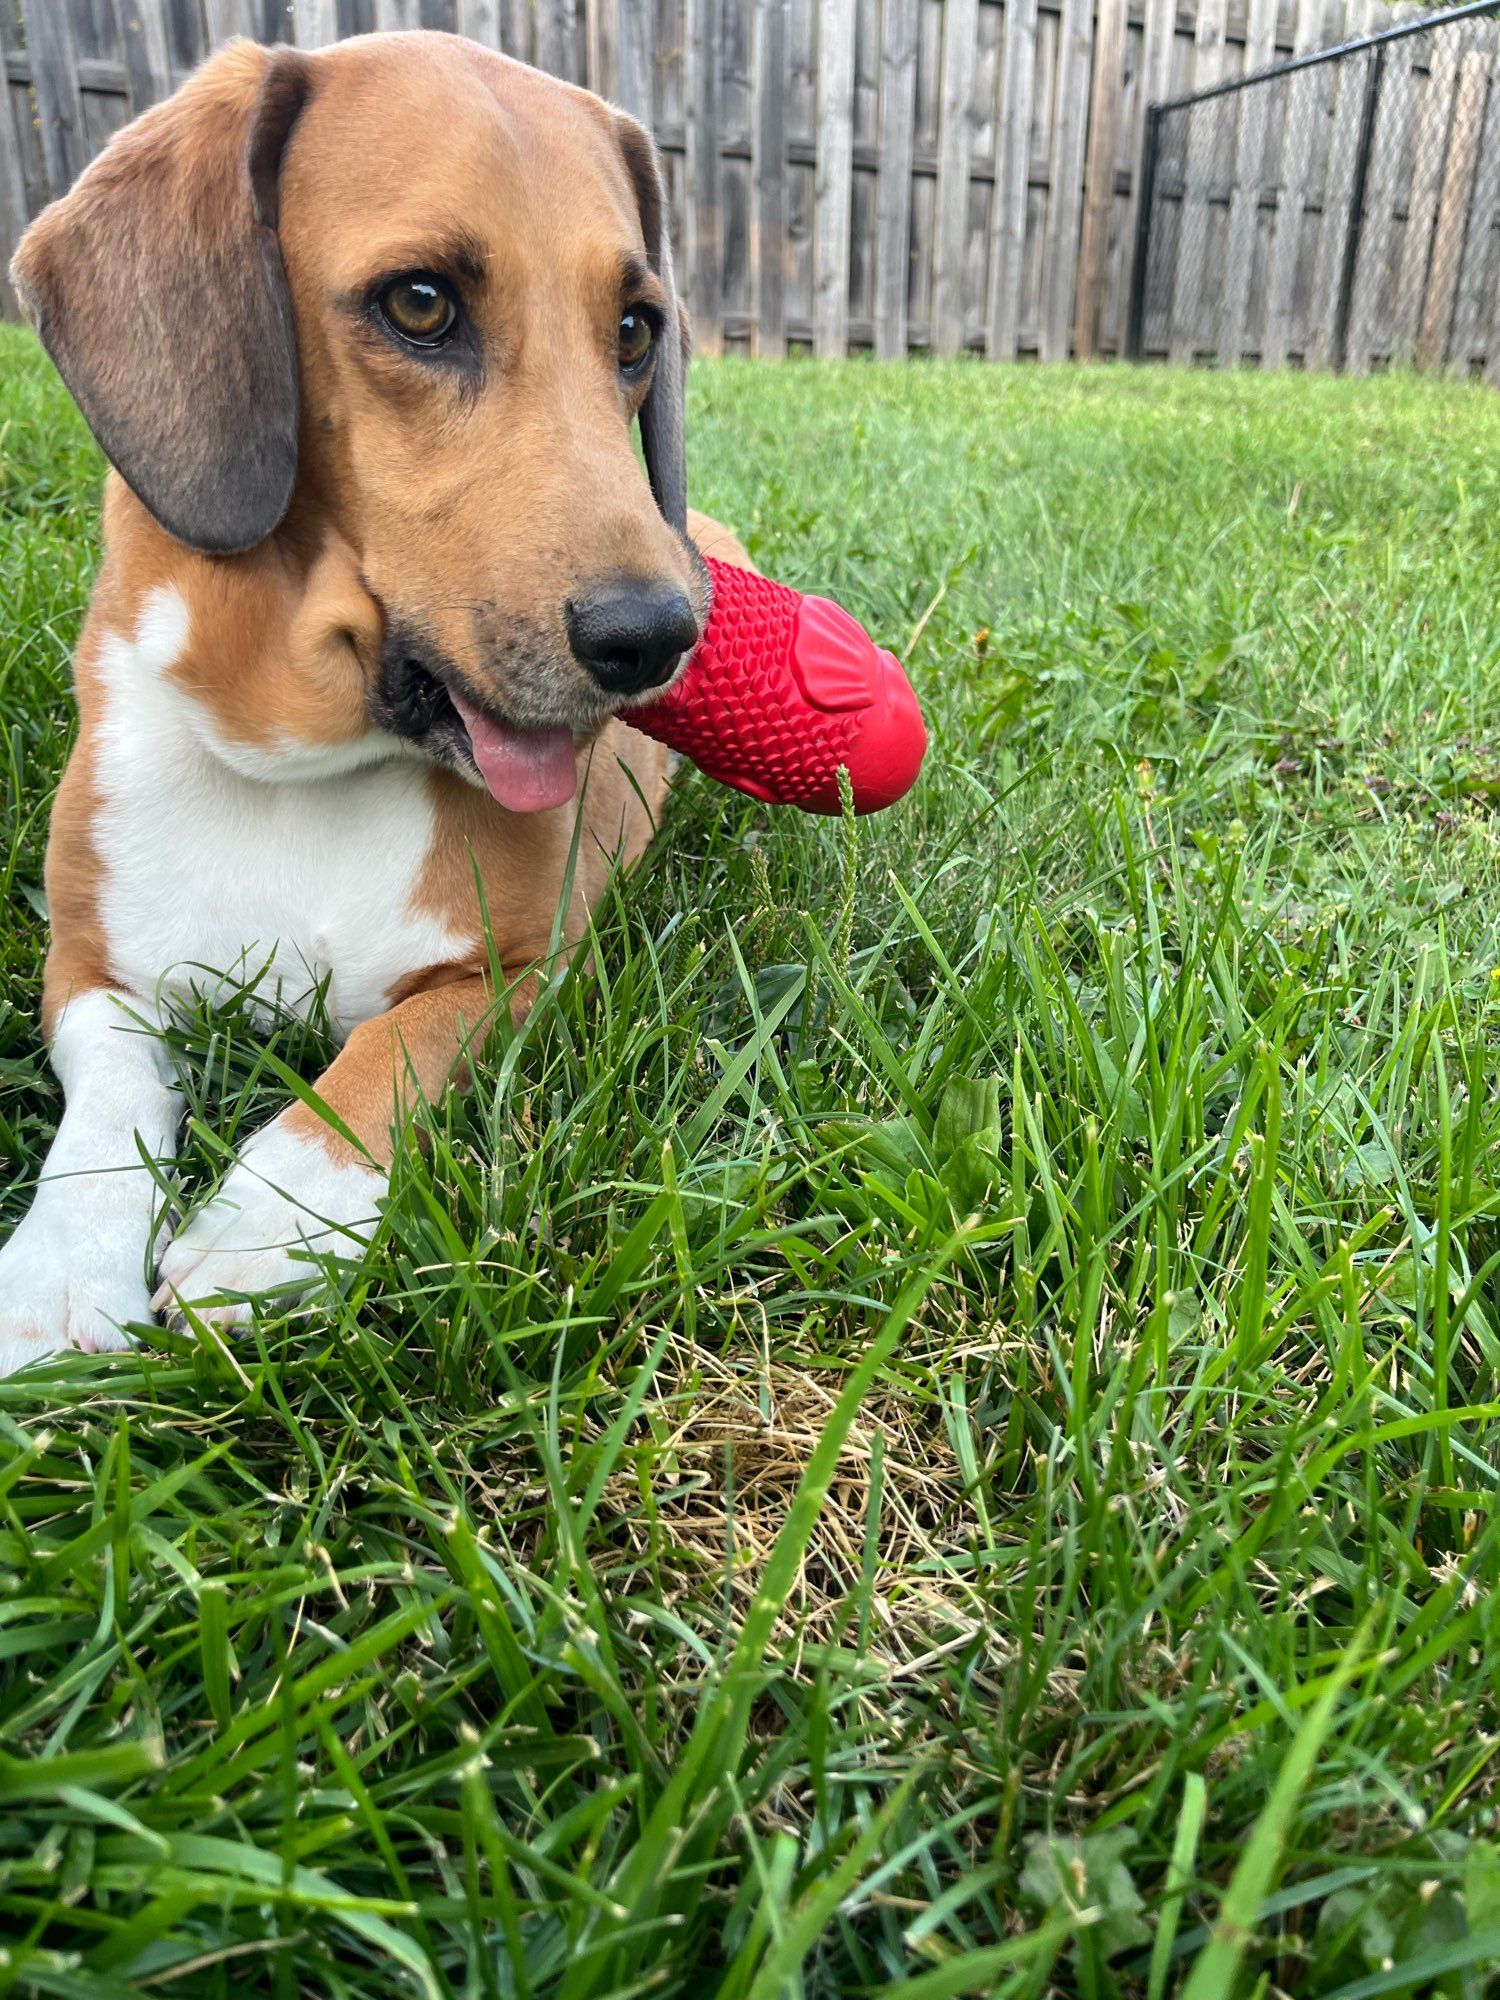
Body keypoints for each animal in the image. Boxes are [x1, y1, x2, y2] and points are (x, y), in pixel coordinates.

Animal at [0, 35, 752, 1376]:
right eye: (419, 304)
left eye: (632, 327)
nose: (659, 637)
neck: (312, 766)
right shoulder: (87, 967)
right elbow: (113, 1095)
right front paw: (61, 1261)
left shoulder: (521, 968)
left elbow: (387, 1048)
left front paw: (273, 1214)